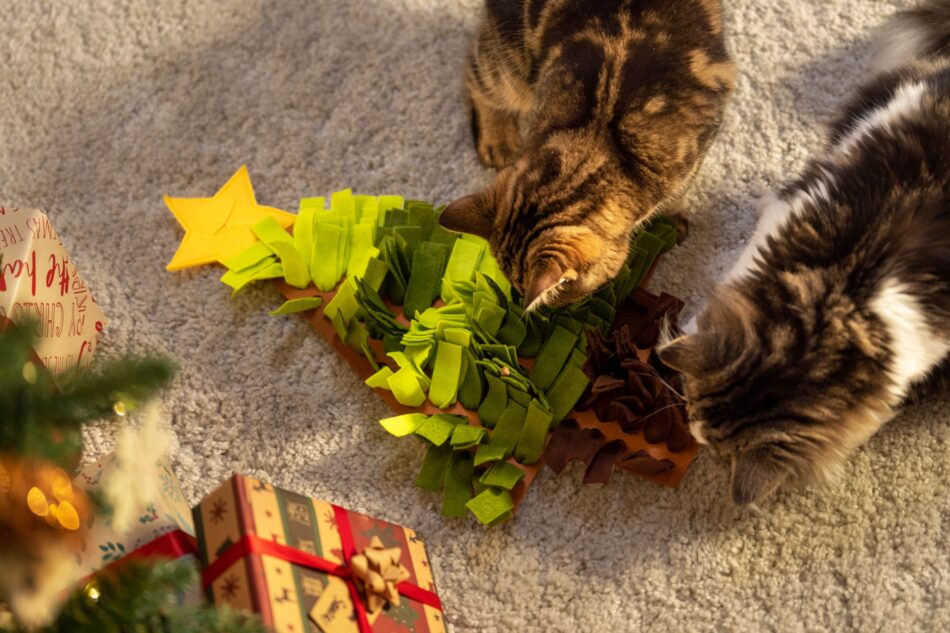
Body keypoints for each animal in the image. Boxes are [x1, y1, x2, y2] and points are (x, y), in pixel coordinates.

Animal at [438, 0, 736, 308]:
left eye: (565, 290)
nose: (554, 309)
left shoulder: (698, 148)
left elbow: (679, 194)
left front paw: (672, 218)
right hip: (510, 58)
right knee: (475, 72)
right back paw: (497, 142)